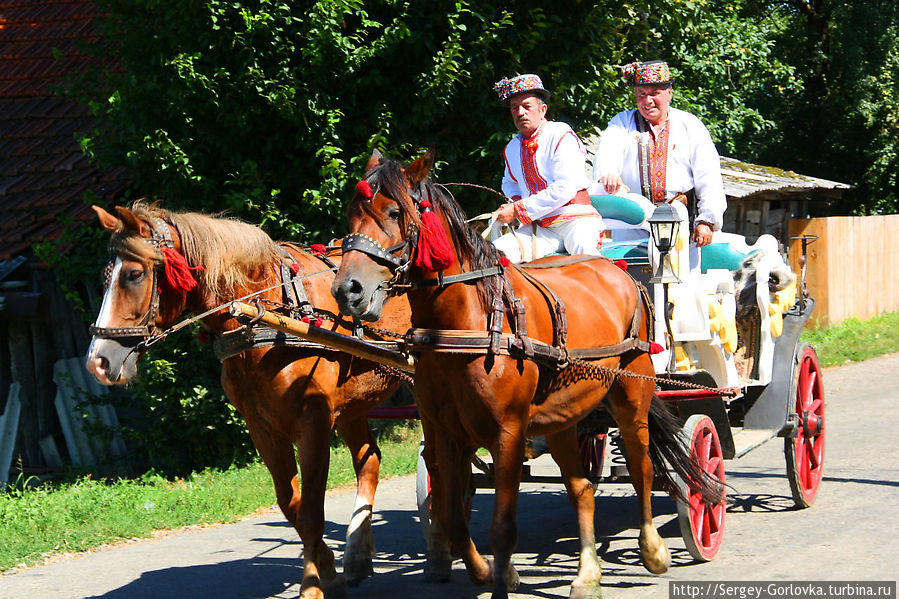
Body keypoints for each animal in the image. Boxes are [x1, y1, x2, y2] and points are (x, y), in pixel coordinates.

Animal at [86, 203, 410, 599]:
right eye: (106, 278)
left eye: (134, 274)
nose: (98, 361)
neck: (265, 318)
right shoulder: (262, 429)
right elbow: (291, 505)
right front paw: (328, 571)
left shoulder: (313, 425)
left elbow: (310, 512)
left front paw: (313, 585)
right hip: (353, 406)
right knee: (369, 462)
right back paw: (359, 553)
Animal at [330, 151, 716, 599]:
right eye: (351, 213)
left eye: (394, 213)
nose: (347, 289)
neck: (469, 324)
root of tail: (619, 270)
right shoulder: (445, 431)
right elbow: (453, 515)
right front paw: (483, 572)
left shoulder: (508, 432)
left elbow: (502, 527)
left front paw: (500, 578)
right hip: (564, 418)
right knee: (582, 488)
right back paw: (587, 574)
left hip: (631, 402)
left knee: (643, 469)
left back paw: (653, 549)